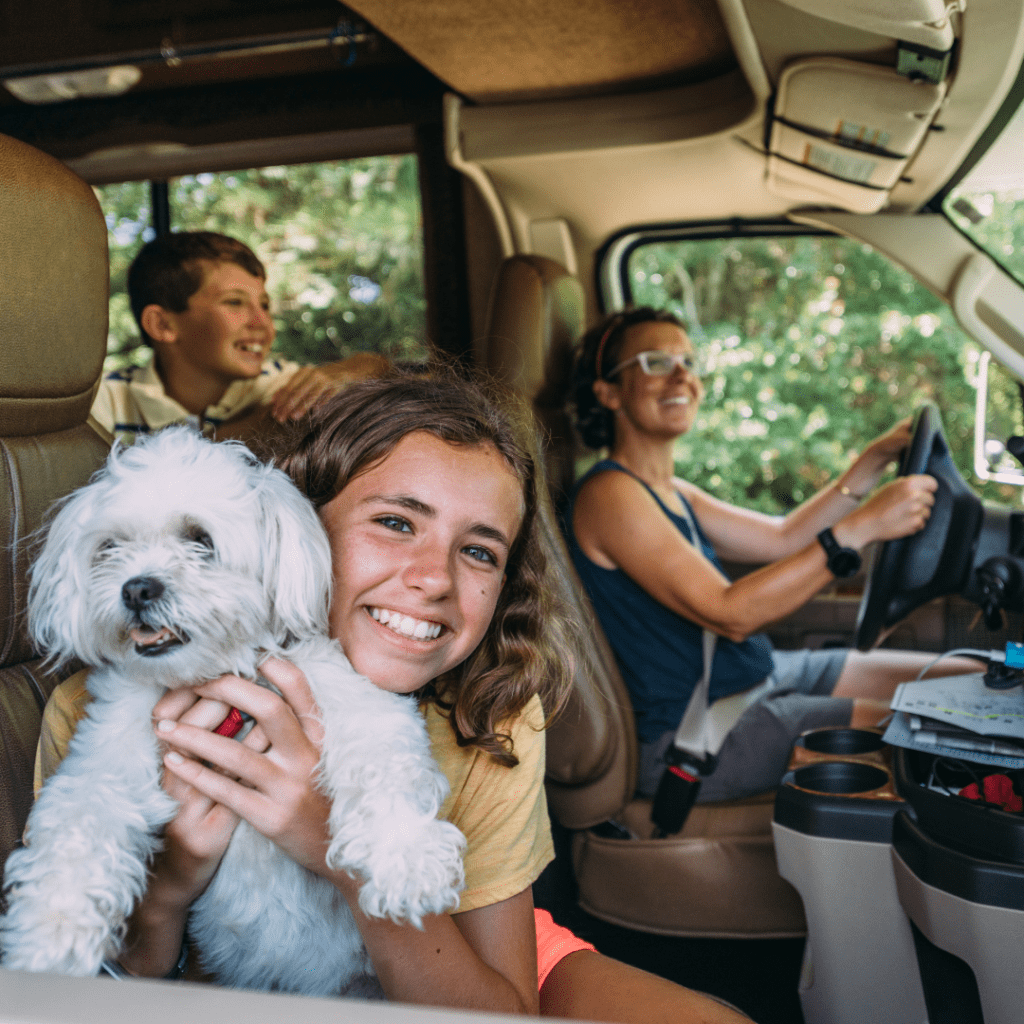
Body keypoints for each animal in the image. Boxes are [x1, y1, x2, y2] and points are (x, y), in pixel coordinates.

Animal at [0, 428, 464, 995]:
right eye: (111, 547)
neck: (215, 676)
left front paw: (406, 859)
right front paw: (50, 935)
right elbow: (78, 827)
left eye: (201, 540)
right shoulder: (105, 759)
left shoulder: (354, 698)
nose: (136, 587)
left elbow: (383, 762)